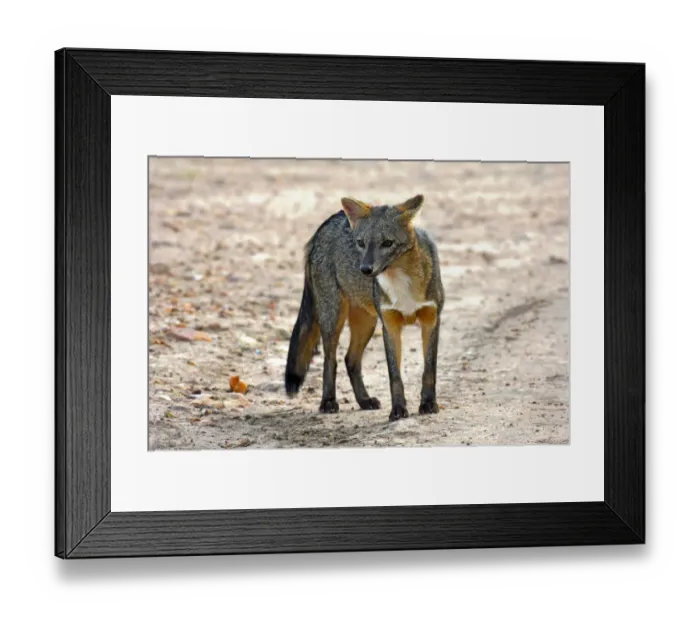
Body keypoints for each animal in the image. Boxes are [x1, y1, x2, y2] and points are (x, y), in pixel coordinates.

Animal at [285, 194, 445, 422]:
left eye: (387, 243)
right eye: (360, 243)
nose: (365, 269)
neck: (402, 283)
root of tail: (328, 221)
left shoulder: (431, 320)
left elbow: (429, 370)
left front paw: (429, 404)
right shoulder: (390, 325)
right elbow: (395, 376)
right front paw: (398, 409)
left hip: (366, 322)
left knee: (350, 359)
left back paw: (364, 400)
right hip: (333, 318)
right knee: (330, 361)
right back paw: (328, 401)